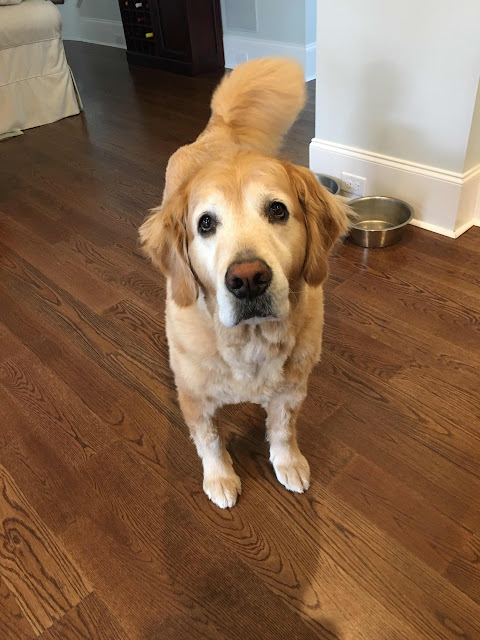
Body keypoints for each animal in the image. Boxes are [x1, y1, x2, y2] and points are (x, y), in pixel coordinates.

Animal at [139, 58, 350, 508]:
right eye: (205, 223)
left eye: (277, 210)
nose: (248, 279)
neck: (251, 341)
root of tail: (218, 129)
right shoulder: (195, 400)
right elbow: (209, 441)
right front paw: (220, 478)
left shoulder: (292, 390)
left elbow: (283, 430)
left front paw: (288, 462)